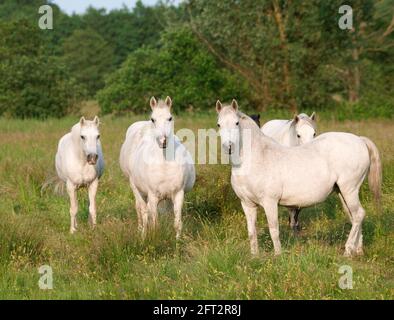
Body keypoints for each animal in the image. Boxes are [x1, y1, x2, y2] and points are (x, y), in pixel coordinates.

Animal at [119, 96, 195, 239]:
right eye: (153, 119)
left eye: (170, 118)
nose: (163, 141)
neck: (164, 164)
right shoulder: (153, 196)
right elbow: (154, 222)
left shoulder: (178, 194)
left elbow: (177, 222)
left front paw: (178, 241)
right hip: (136, 188)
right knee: (142, 210)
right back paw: (142, 233)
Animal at [215, 100, 382, 258]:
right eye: (219, 124)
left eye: (236, 123)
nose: (228, 147)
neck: (257, 158)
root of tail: (359, 140)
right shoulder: (247, 204)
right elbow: (251, 232)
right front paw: (254, 256)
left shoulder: (270, 202)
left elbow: (274, 230)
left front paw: (278, 256)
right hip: (342, 192)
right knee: (354, 216)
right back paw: (358, 250)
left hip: (349, 190)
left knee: (359, 214)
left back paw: (347, 251)